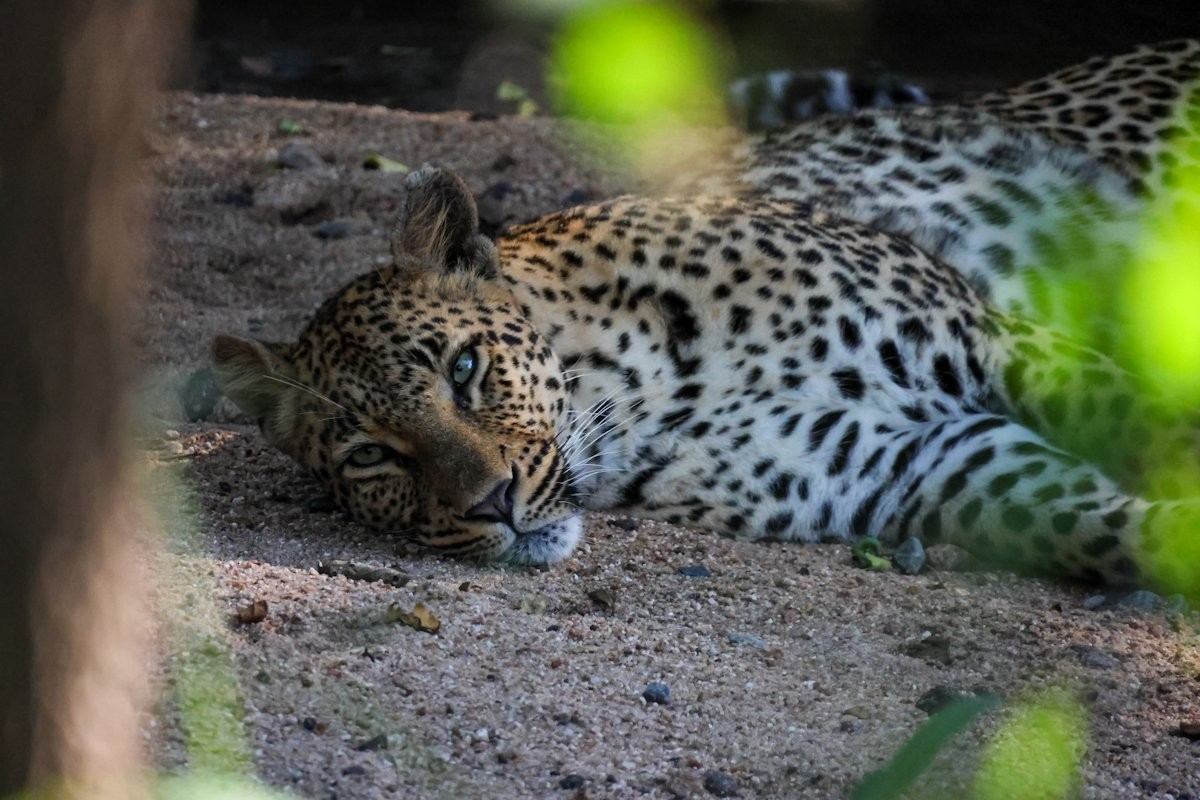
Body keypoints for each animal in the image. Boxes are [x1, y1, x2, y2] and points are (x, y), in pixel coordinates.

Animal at [211, 41, 1200, 595]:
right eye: (370, 457)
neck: (637, 393)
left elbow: (1152, 419)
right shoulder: (929, 463)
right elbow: (1106, 528)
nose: (492, 504)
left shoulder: (995, 346)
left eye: (464, 369)